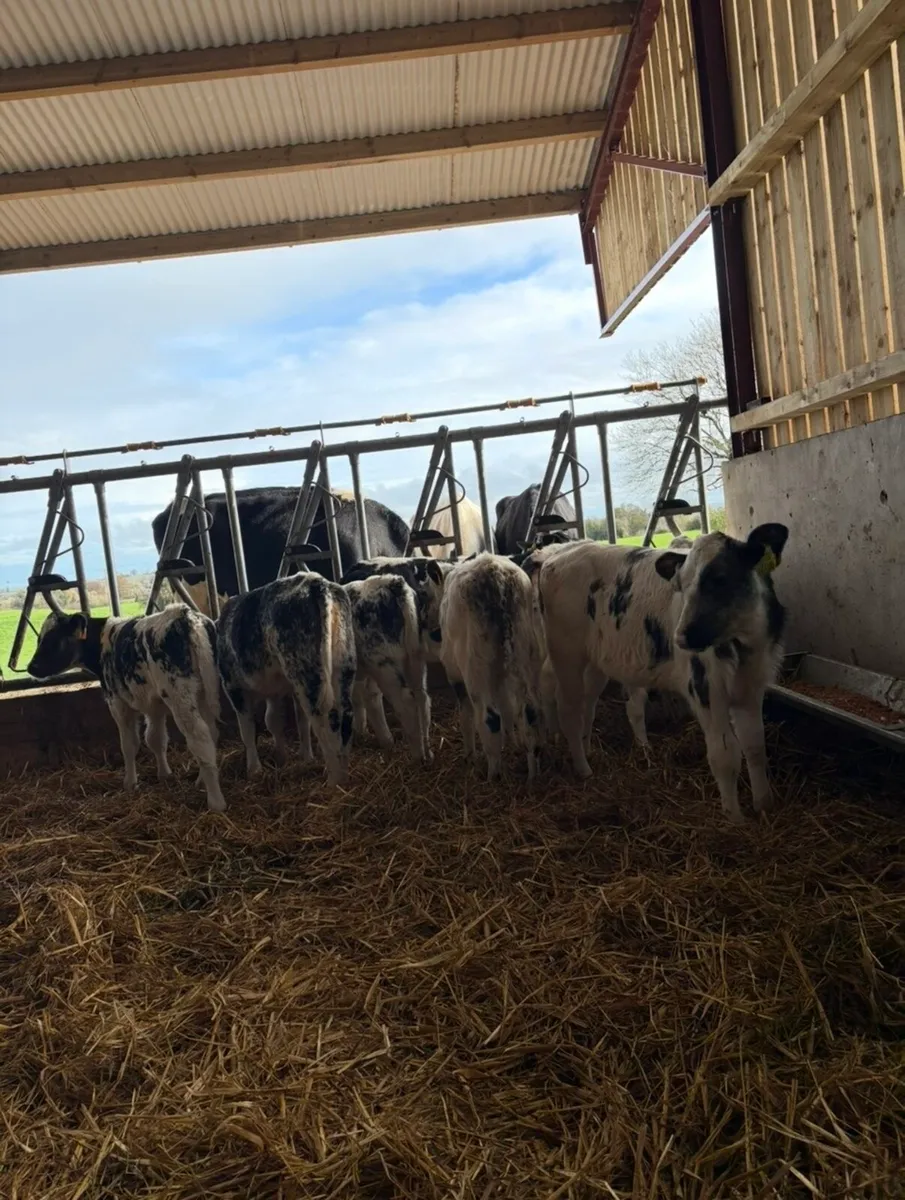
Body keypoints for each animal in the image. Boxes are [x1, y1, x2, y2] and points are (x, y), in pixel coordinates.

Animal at [27, 601, 225, 812]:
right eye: (39, 638)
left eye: (53, 640)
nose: (31, 667)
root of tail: (183, 614)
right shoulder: (153, 704)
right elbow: (155, 739)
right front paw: (164, 775)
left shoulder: (117, 703)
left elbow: (129, 745)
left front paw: (130, 783)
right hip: (204, 691)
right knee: (211, 732)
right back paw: (201, 781)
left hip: (180, 695)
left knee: (200, 738)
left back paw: (216, 802)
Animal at [217, 574, 356, 787]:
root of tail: (316, 582)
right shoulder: (279, 689)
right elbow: (280, 720)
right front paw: (295, 758)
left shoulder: (233, 686)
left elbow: (247, 729)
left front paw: (254, 770)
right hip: (341, 665)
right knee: (345, 716)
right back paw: (344, 774)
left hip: (308, 675)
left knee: (326, 720)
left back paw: (334, 781)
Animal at [344, 574, 432, 762]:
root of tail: (392, 581)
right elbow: (366, 697)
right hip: (415, 658)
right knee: (422, 698)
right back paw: (428, 752)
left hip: (382, 663)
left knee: (405, 703)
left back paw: (417, 756)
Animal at [439, 553, 543, 781]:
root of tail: (494, 573)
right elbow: (508, 708)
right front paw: (514, 741)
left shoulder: (455, 675)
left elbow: (466, 716)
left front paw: (470, 756)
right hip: (526, 652)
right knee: (530, 713)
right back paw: (532, 773)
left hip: (474, 666)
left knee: (490, 718)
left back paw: (493, 776)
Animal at [537, 525, 789, 823]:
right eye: (680, 585)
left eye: (719, 578)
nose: (680, 637)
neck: (742, 644)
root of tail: (558, 555)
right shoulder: (706, 689)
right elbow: (724, 756)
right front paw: (735, 819)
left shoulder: (752, 685)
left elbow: (755, 746)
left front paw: (764, 805)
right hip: (566, 654)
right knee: (568, 708)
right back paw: (582, 767)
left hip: (594, 662)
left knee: (587, 704)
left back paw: (588, 751)